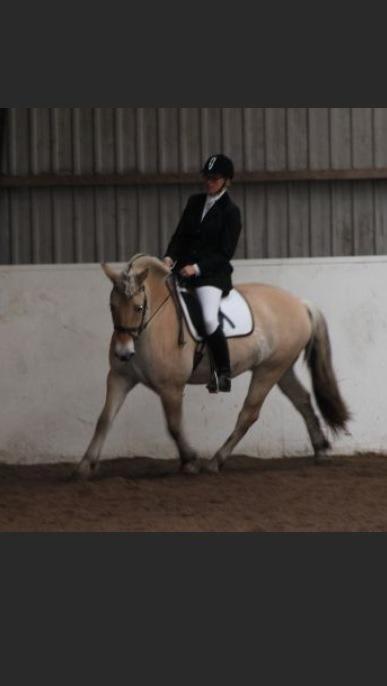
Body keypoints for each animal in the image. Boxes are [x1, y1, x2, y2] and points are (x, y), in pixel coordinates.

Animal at [75, 253, 352, 478]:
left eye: (138, 307)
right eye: (111, 306)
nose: (123, 352)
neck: (151, 326)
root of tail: (300, 303)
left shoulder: (171, 387)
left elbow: (174, 425)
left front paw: (190, 461)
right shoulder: (119, 377)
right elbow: (105, 418)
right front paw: (86, 464)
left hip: (268, 370)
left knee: (249, 414)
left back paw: (215, 461)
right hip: (282, 368)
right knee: (302, 400)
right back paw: (320, 449)